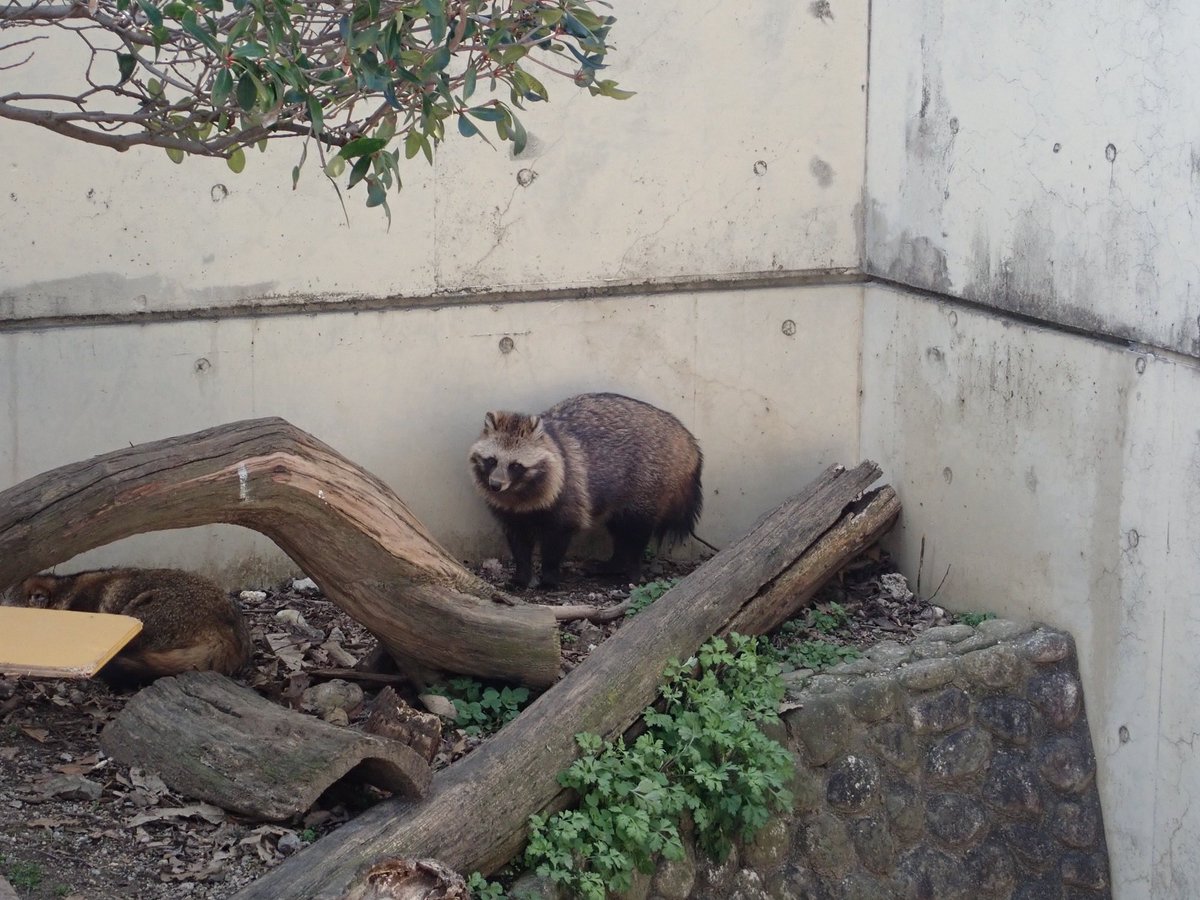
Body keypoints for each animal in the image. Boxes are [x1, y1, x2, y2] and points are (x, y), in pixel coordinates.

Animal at [463, 391, 700, 588]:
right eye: (492, 460)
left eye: (515, 466)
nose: (495, 485)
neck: (518, 492)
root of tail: (685, 436)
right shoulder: (510, 512)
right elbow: (518, 540)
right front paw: (522, 575)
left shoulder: (568, 497)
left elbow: (557, 539)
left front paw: (549, 576)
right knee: (619, 526)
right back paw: (614, 563)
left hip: (649, 483)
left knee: (635, 530)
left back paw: (632, 569)